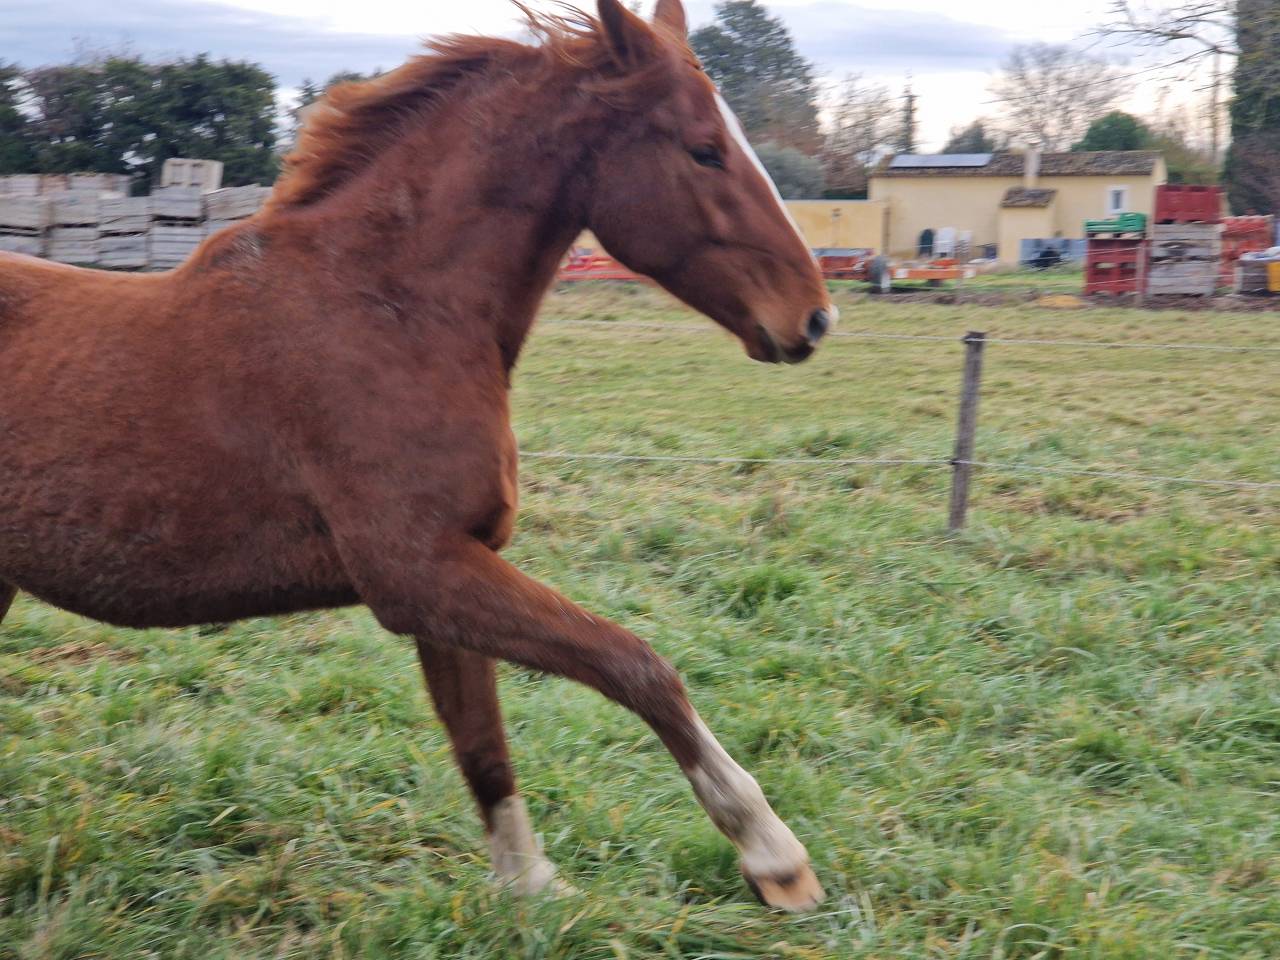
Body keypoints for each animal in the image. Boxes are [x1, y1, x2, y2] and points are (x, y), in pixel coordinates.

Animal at [0, 0, 835, 911]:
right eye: (704, 148)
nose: (814, 318)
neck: (390, 310)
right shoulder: (417, 573)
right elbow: (636, 665)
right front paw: (774, 856)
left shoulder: (453, 572)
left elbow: (485, 746)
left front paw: (530, 887)